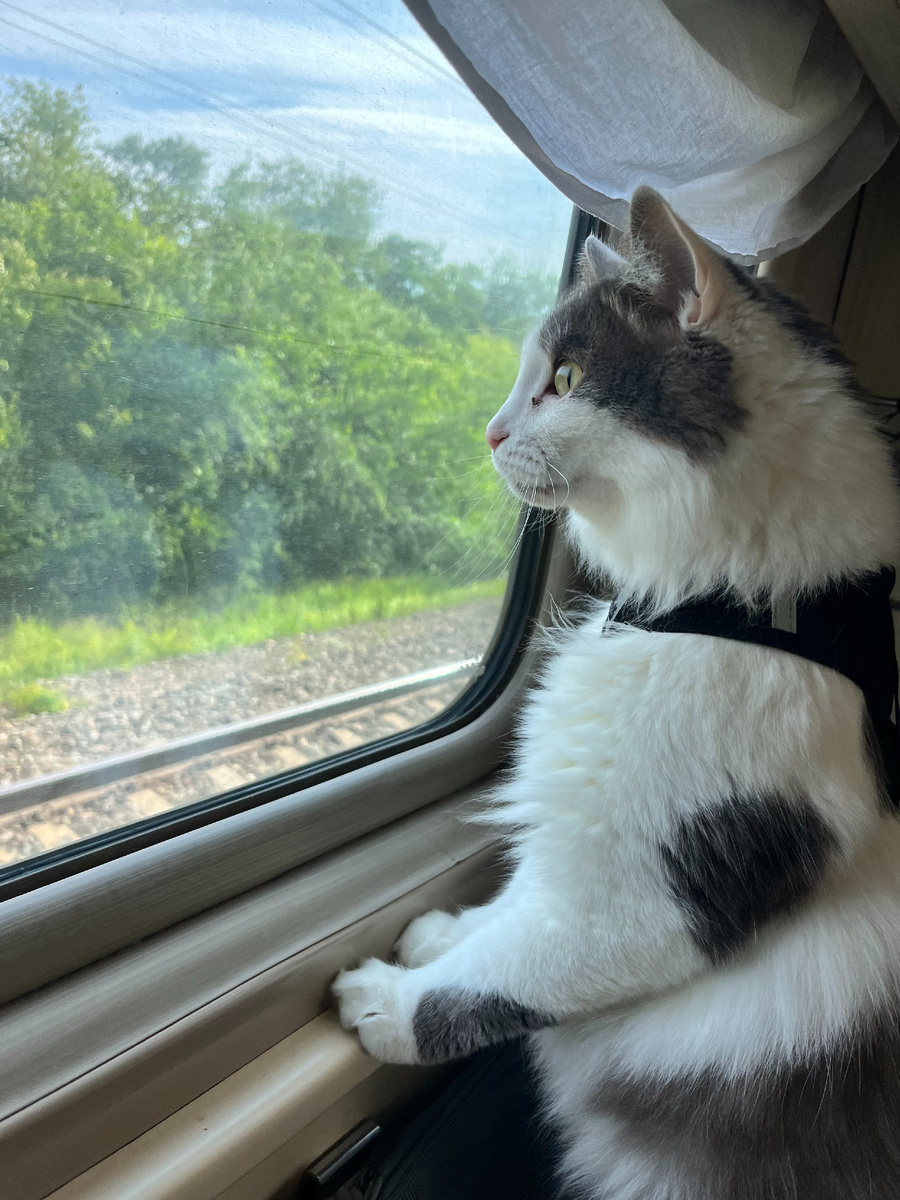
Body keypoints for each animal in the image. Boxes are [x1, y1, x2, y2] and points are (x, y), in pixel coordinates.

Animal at [334, 186, 900, 1199]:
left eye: (564, 377)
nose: (489, 431)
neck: (730, 609)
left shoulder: (643, 895)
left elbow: (504, 979)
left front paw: (388, 1005)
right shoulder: (580, 831)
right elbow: (509, 915)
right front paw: (444, 934)